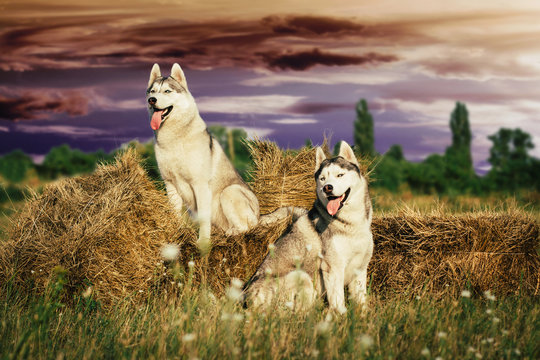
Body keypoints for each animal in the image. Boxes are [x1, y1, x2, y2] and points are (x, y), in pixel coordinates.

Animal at [146, 63, 260, 249]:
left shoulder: (199, 185)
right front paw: (178, 235)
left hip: (229, 192)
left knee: (247, 227)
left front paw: (203, 241)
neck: (174, 139)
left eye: (167, 91)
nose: (152, 100)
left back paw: (231, 233)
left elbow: (203, 219)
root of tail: (260, 215)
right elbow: (175, 214)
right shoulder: (170, 184)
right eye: (152, 91)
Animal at [244, 141, 372, 312]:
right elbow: (339, 304)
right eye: (323, 179)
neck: (350, 224)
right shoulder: (333, 268)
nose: (327, 188)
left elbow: (362, 302)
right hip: (301, 276)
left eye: (340, 175)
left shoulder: (360, 268)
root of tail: (248, 300)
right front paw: (340, 317)